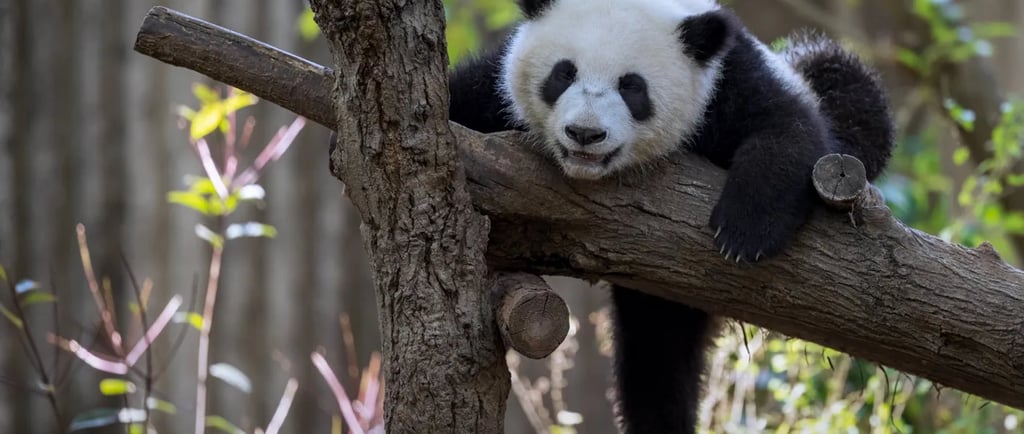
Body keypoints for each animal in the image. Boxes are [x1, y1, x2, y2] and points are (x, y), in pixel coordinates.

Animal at [447, 0, 895, 432]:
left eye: (632, 86)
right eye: (563, 73)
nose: (585, 134)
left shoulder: (730, 81)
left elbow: (790, 131)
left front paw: (744, 231)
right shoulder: (491, 92)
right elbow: (460, 99)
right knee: (655, 350)